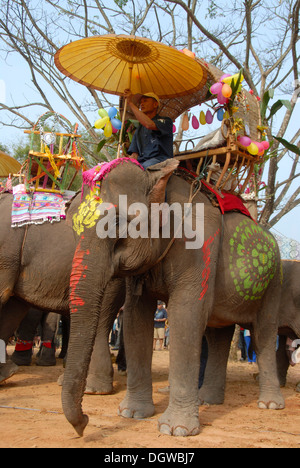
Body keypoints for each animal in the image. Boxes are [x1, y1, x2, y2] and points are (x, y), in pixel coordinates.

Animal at [62, 158, 284, 438]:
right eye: (72, 228)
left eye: (118, 224)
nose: (83, 423)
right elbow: (135, 320)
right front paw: (132, 414)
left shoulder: (198, 247)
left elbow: (185, 318)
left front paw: (175, 429)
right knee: (218, 335)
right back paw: (207, 400)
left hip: (274, 282)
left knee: (263, 333)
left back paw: (269, 405)